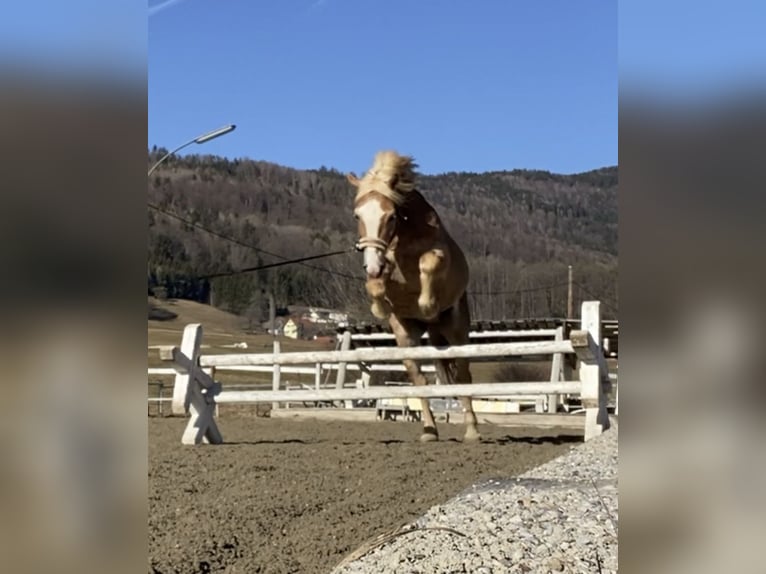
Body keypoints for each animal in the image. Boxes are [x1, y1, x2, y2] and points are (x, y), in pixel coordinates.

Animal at [348, 151, 480, 444]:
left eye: (391, 217)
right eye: (357, 215)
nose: (371, 264)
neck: (403, 238)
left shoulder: (438, 255)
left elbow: (428, 263)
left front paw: (427, 304)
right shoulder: (384, 272)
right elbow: (375, 287)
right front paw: (379, 307)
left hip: (457, 333)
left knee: (464, 375)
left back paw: (472, 430)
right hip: (406, 337)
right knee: (420, 380)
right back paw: (429, 431)